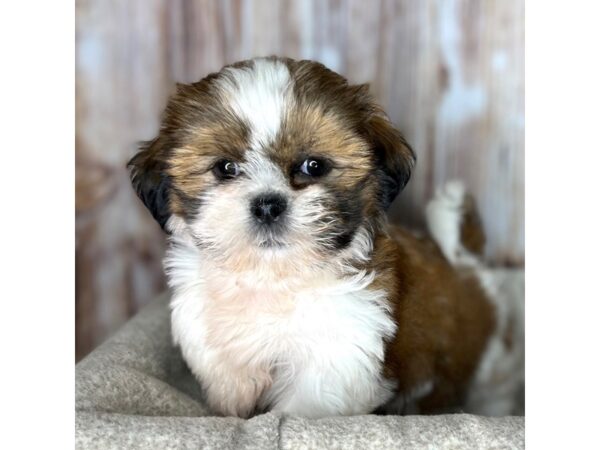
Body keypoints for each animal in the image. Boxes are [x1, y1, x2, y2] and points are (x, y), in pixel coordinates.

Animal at [129, 56, 524, 418]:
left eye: (313, 166)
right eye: (226, 168)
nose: (268, 205)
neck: (273, 277)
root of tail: (462, 262)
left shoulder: (338, 356)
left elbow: (302, 408)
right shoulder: (221, 356)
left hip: (490, 365)